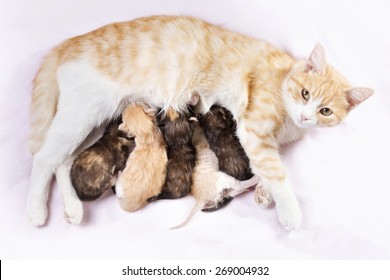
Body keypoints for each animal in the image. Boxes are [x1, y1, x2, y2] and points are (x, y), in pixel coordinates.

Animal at [25, 15, 374, 229]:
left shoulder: (268, 142)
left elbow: (268, 167)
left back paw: (73, 208)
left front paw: (264, 192)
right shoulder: (252, 130)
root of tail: (72, 41)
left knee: (64, 161)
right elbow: (276, 170)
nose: (305, 115)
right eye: (304, 93)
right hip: (82, 113)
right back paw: (36, 210)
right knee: (44, 158)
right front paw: (289, 211)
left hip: (96, 122)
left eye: (325, 111)